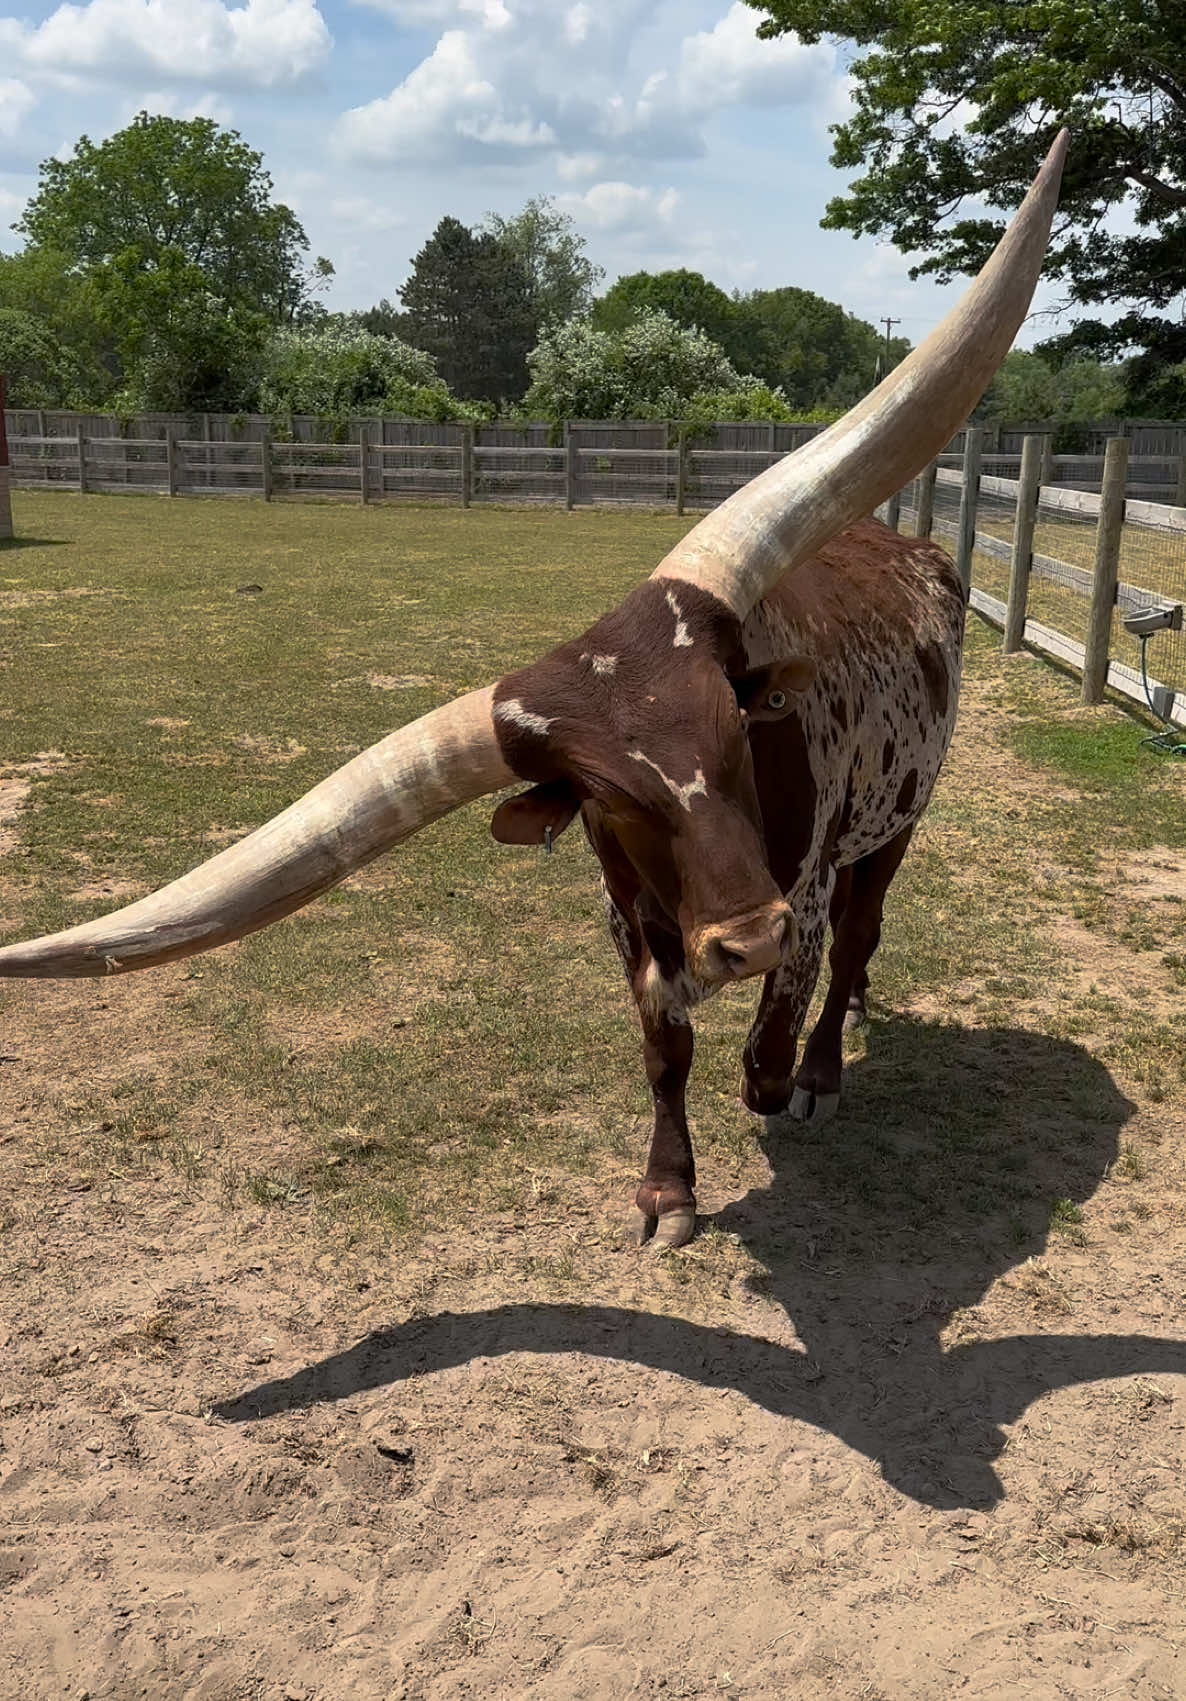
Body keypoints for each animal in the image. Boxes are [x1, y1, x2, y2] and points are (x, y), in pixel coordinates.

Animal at [0, 134, 1069, 1249]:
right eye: (607, 797)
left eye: (737, 730)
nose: (743, 939)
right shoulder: (626, 918)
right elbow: (664, 1052)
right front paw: (667, 1192)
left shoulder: (803, 889)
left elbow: (770, 1036)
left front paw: (778, 1076)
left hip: (903, 810)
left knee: (862, 928)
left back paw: (823, 1063)